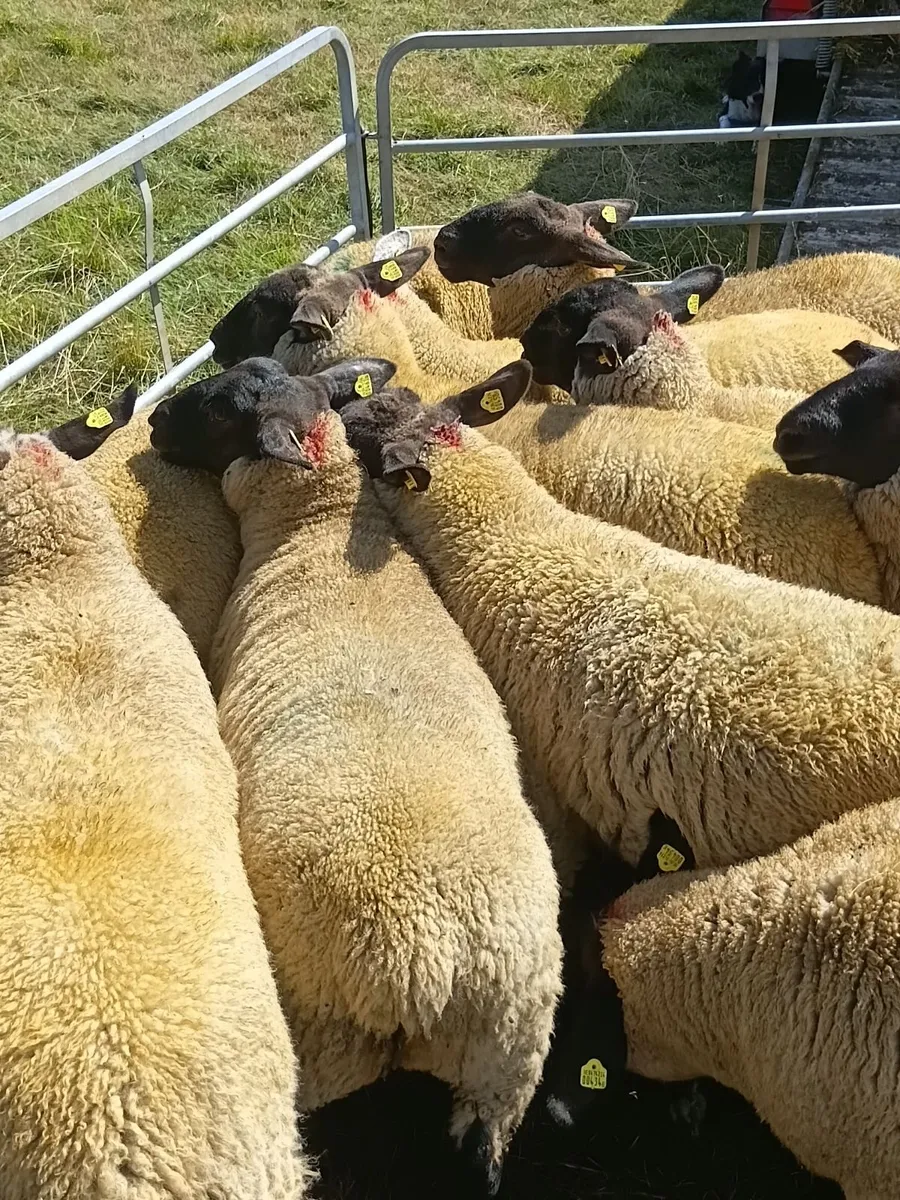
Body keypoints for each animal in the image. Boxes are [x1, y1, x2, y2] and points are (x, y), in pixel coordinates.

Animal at [148, 356, 563, 1196]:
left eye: (217, 407)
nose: (150, 423)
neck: (316, 522)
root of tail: (425, 960)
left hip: (323, 1043)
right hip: (504, 1061)